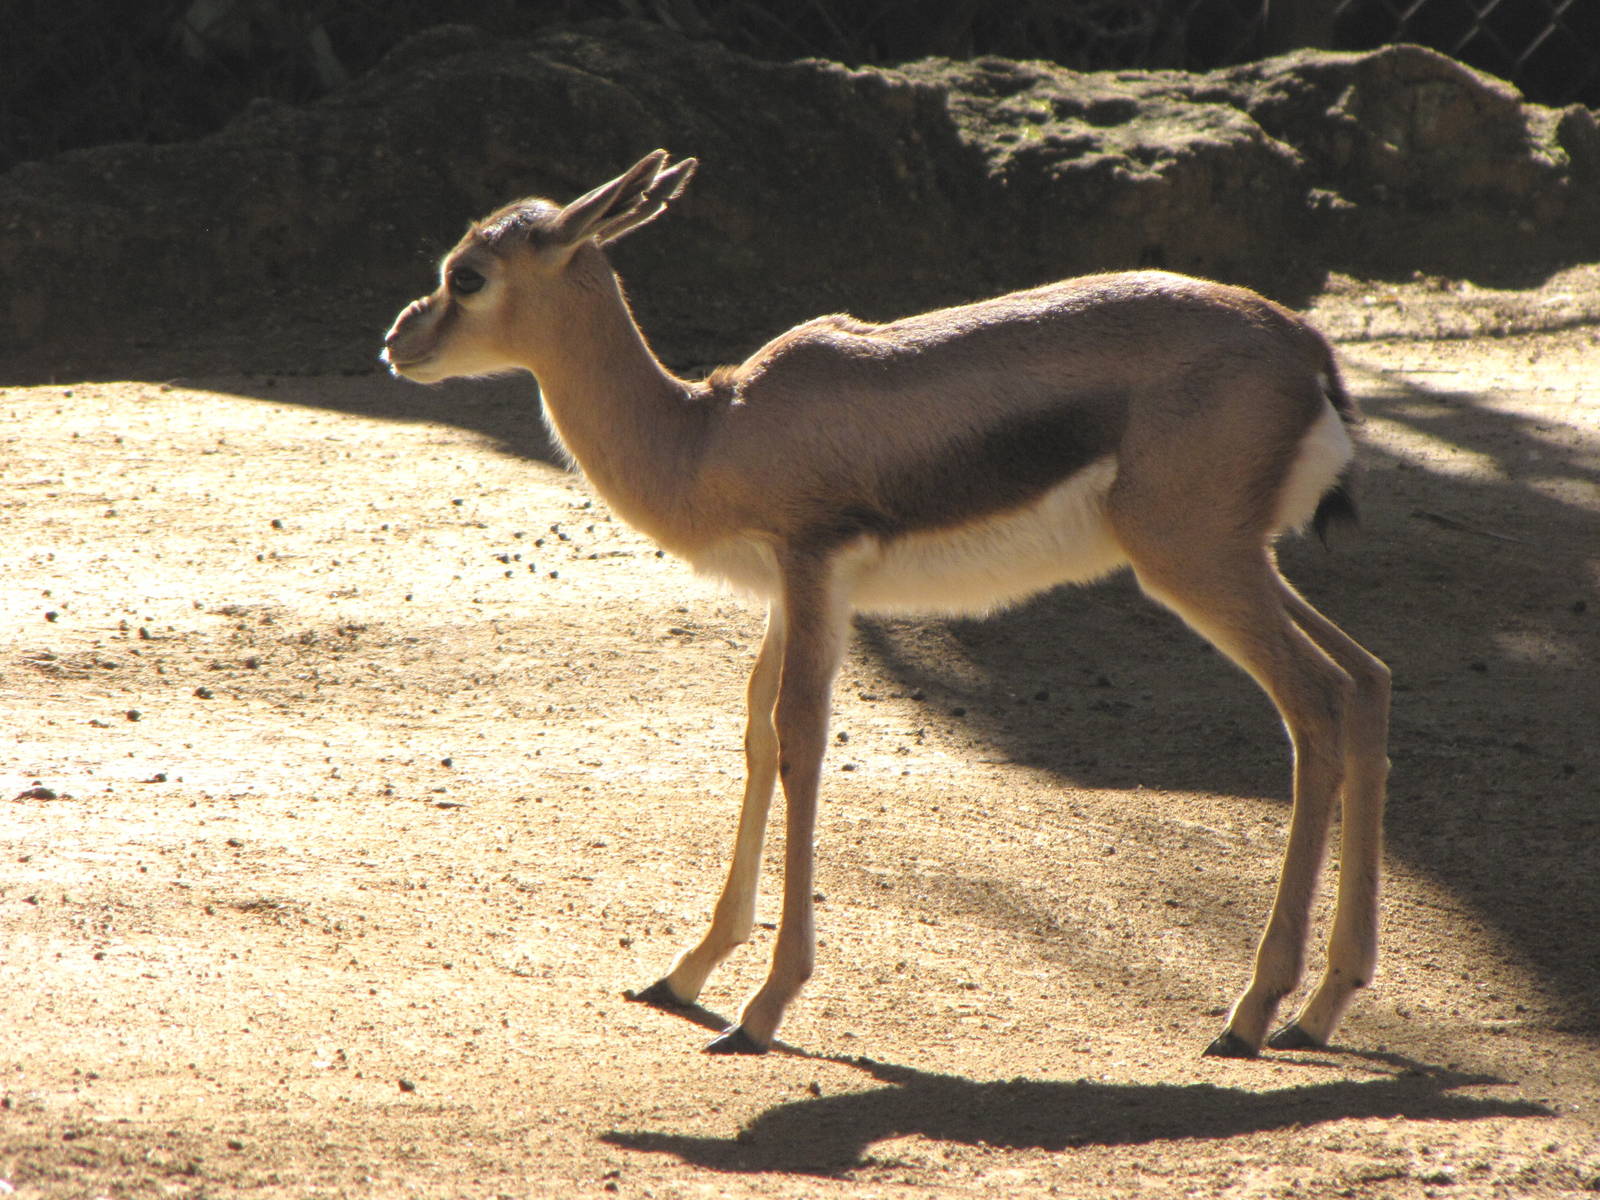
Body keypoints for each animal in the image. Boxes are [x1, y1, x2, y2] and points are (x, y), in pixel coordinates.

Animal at [381, 150, 1390, 1059]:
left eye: (467, 274)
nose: (397, 342)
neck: (708, 434)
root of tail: (1304, 347)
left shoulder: (813, 568)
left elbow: (799, 739)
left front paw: (763, 1009)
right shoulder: (791, 595)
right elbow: (757, 733)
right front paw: (687, 970)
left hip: (1196, 563)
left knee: (1314, 704)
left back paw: (1251, 1013)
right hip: (1237, 562)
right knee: (1366, 678)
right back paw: (1321, 1007)